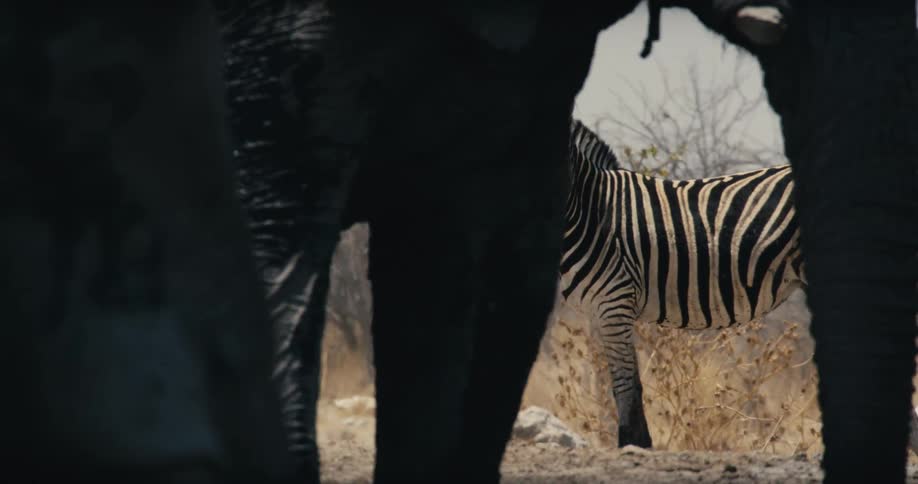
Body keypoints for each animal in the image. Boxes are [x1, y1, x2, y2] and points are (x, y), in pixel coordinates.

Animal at [558, 119, 806, 448]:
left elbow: (624, 386)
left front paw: (631, 445)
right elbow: (629, 383)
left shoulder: (614, 302)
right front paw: (640, 445)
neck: (589, 209)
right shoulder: (604, 311)